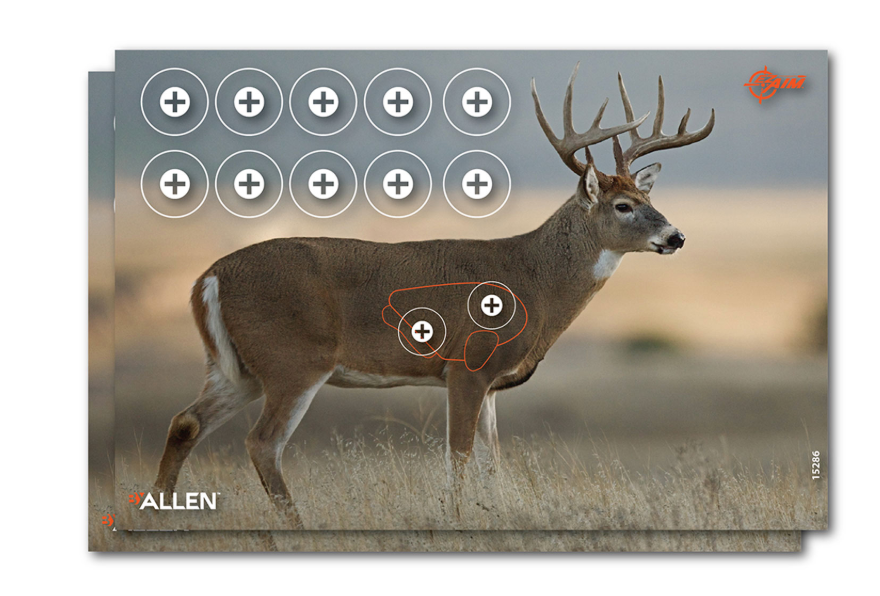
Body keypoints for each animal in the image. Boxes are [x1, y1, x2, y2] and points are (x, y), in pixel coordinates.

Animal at [154, 63, 714, 527]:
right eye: (623, 206)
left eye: (648, 197)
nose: (677, 237)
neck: (533, 281)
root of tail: (209, 277)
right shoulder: (467, 365)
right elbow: (459, 455)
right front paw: (456, 519)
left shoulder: (491, 382)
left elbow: (491, 460)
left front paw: (493, 515)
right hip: (294, 359)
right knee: (262, 443)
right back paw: (295, 528)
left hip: (238, 368)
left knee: (185, 421)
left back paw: (160, 516)